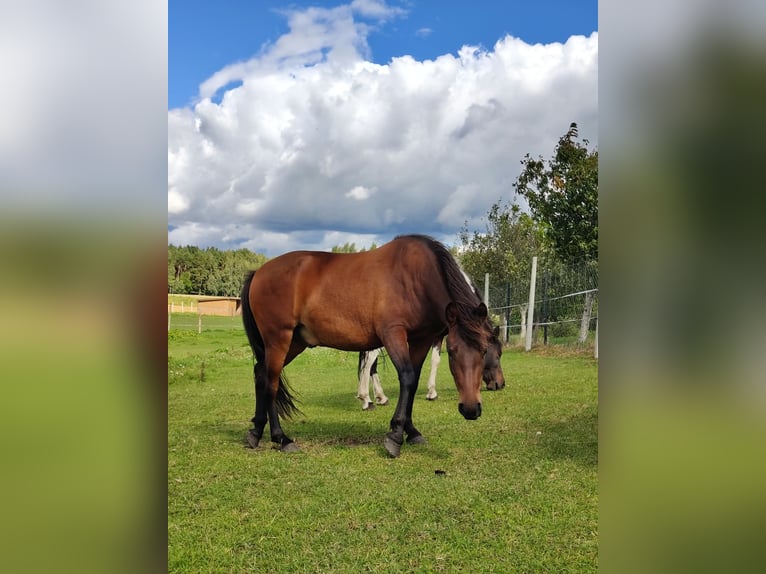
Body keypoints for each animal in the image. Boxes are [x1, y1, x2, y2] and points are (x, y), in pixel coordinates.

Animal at [356, 324, 505, 409]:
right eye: (498, 355)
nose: (501, 384)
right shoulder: (438, 335)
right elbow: (436, 360)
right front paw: (432, 393)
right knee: (369, 363)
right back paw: (366, 399)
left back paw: (380, 397)